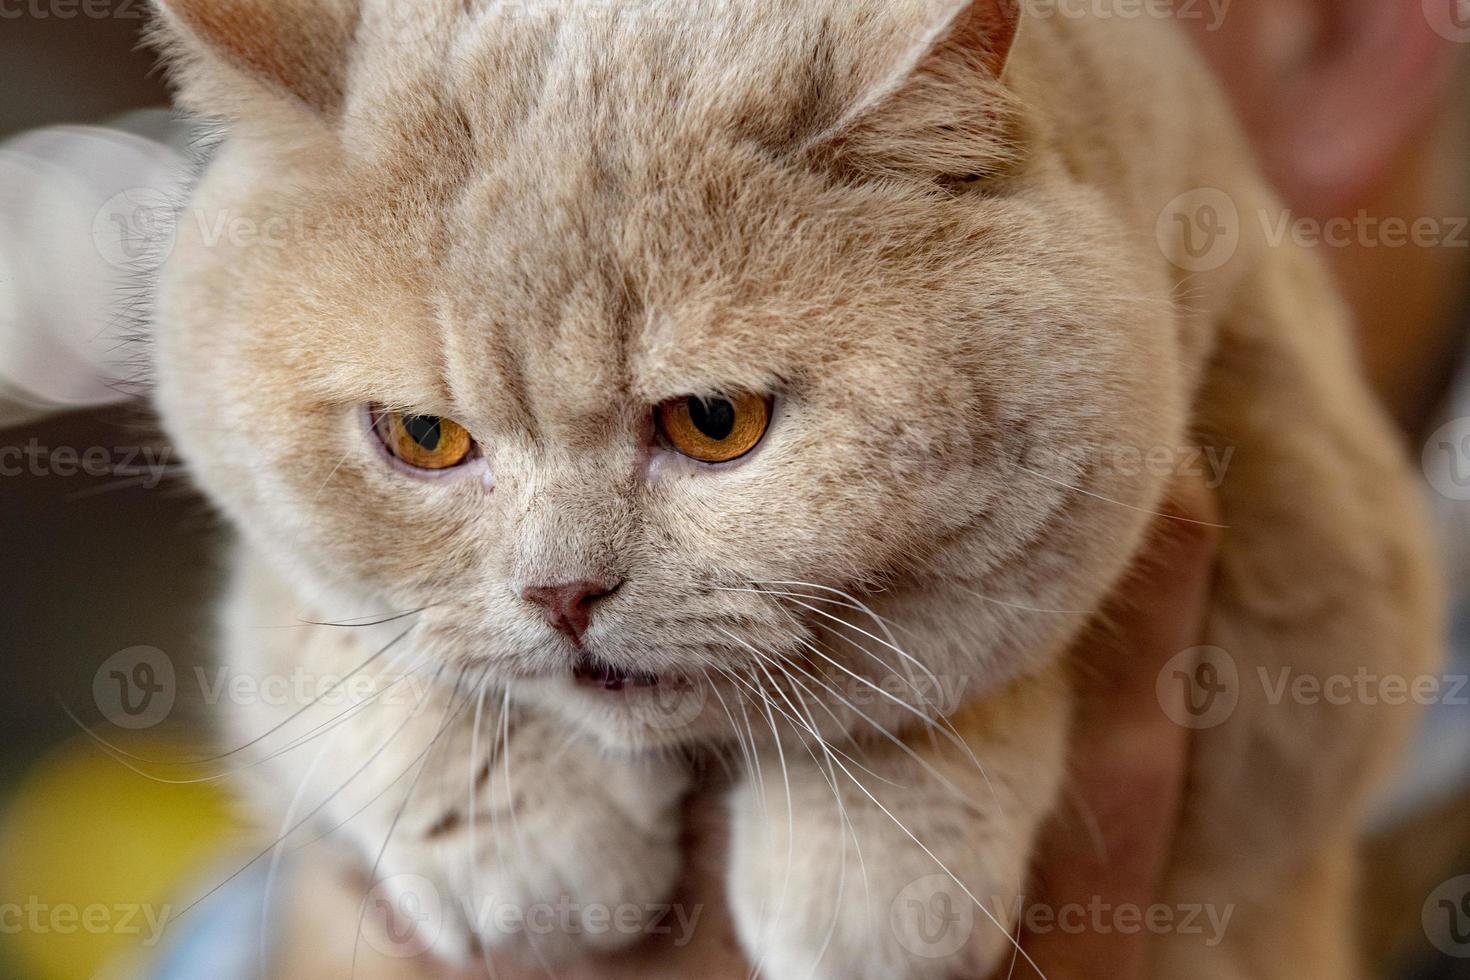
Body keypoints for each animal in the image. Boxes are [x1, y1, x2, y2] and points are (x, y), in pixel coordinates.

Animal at [146, 1, 1434, 980]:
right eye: (422, 436)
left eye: (717, 422)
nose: (564, 593)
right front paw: (518, 839)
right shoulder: (278, 600)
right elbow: (333, 637)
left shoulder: (1311, 565)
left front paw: (875, 865)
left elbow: (937, 663)